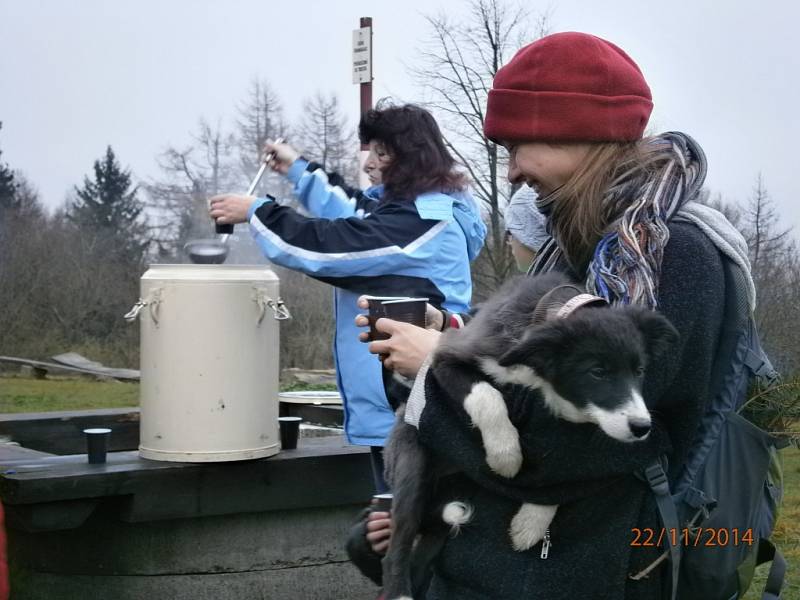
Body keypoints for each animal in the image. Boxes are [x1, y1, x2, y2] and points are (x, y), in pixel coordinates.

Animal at [378, 274, 680, 600]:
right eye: (597, 372)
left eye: (639, 371)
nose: (642, 427)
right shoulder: (446, 357)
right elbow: (487, 394)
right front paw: (505, 453)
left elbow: (560, 472)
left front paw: (531, 523)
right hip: (411, 464)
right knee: (399, 541)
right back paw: (399, 590)